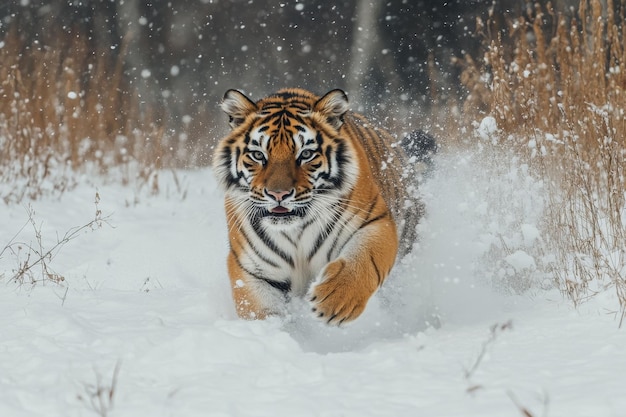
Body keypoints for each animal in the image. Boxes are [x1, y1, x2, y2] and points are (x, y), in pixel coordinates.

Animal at [210, 86, 428, 324]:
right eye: (258, 155)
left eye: (306, 154)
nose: (278, 194)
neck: (294, 230)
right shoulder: (252, 270)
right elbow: (260, 311)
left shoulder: (375, 222)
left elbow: (363, 261)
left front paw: (335, 300)